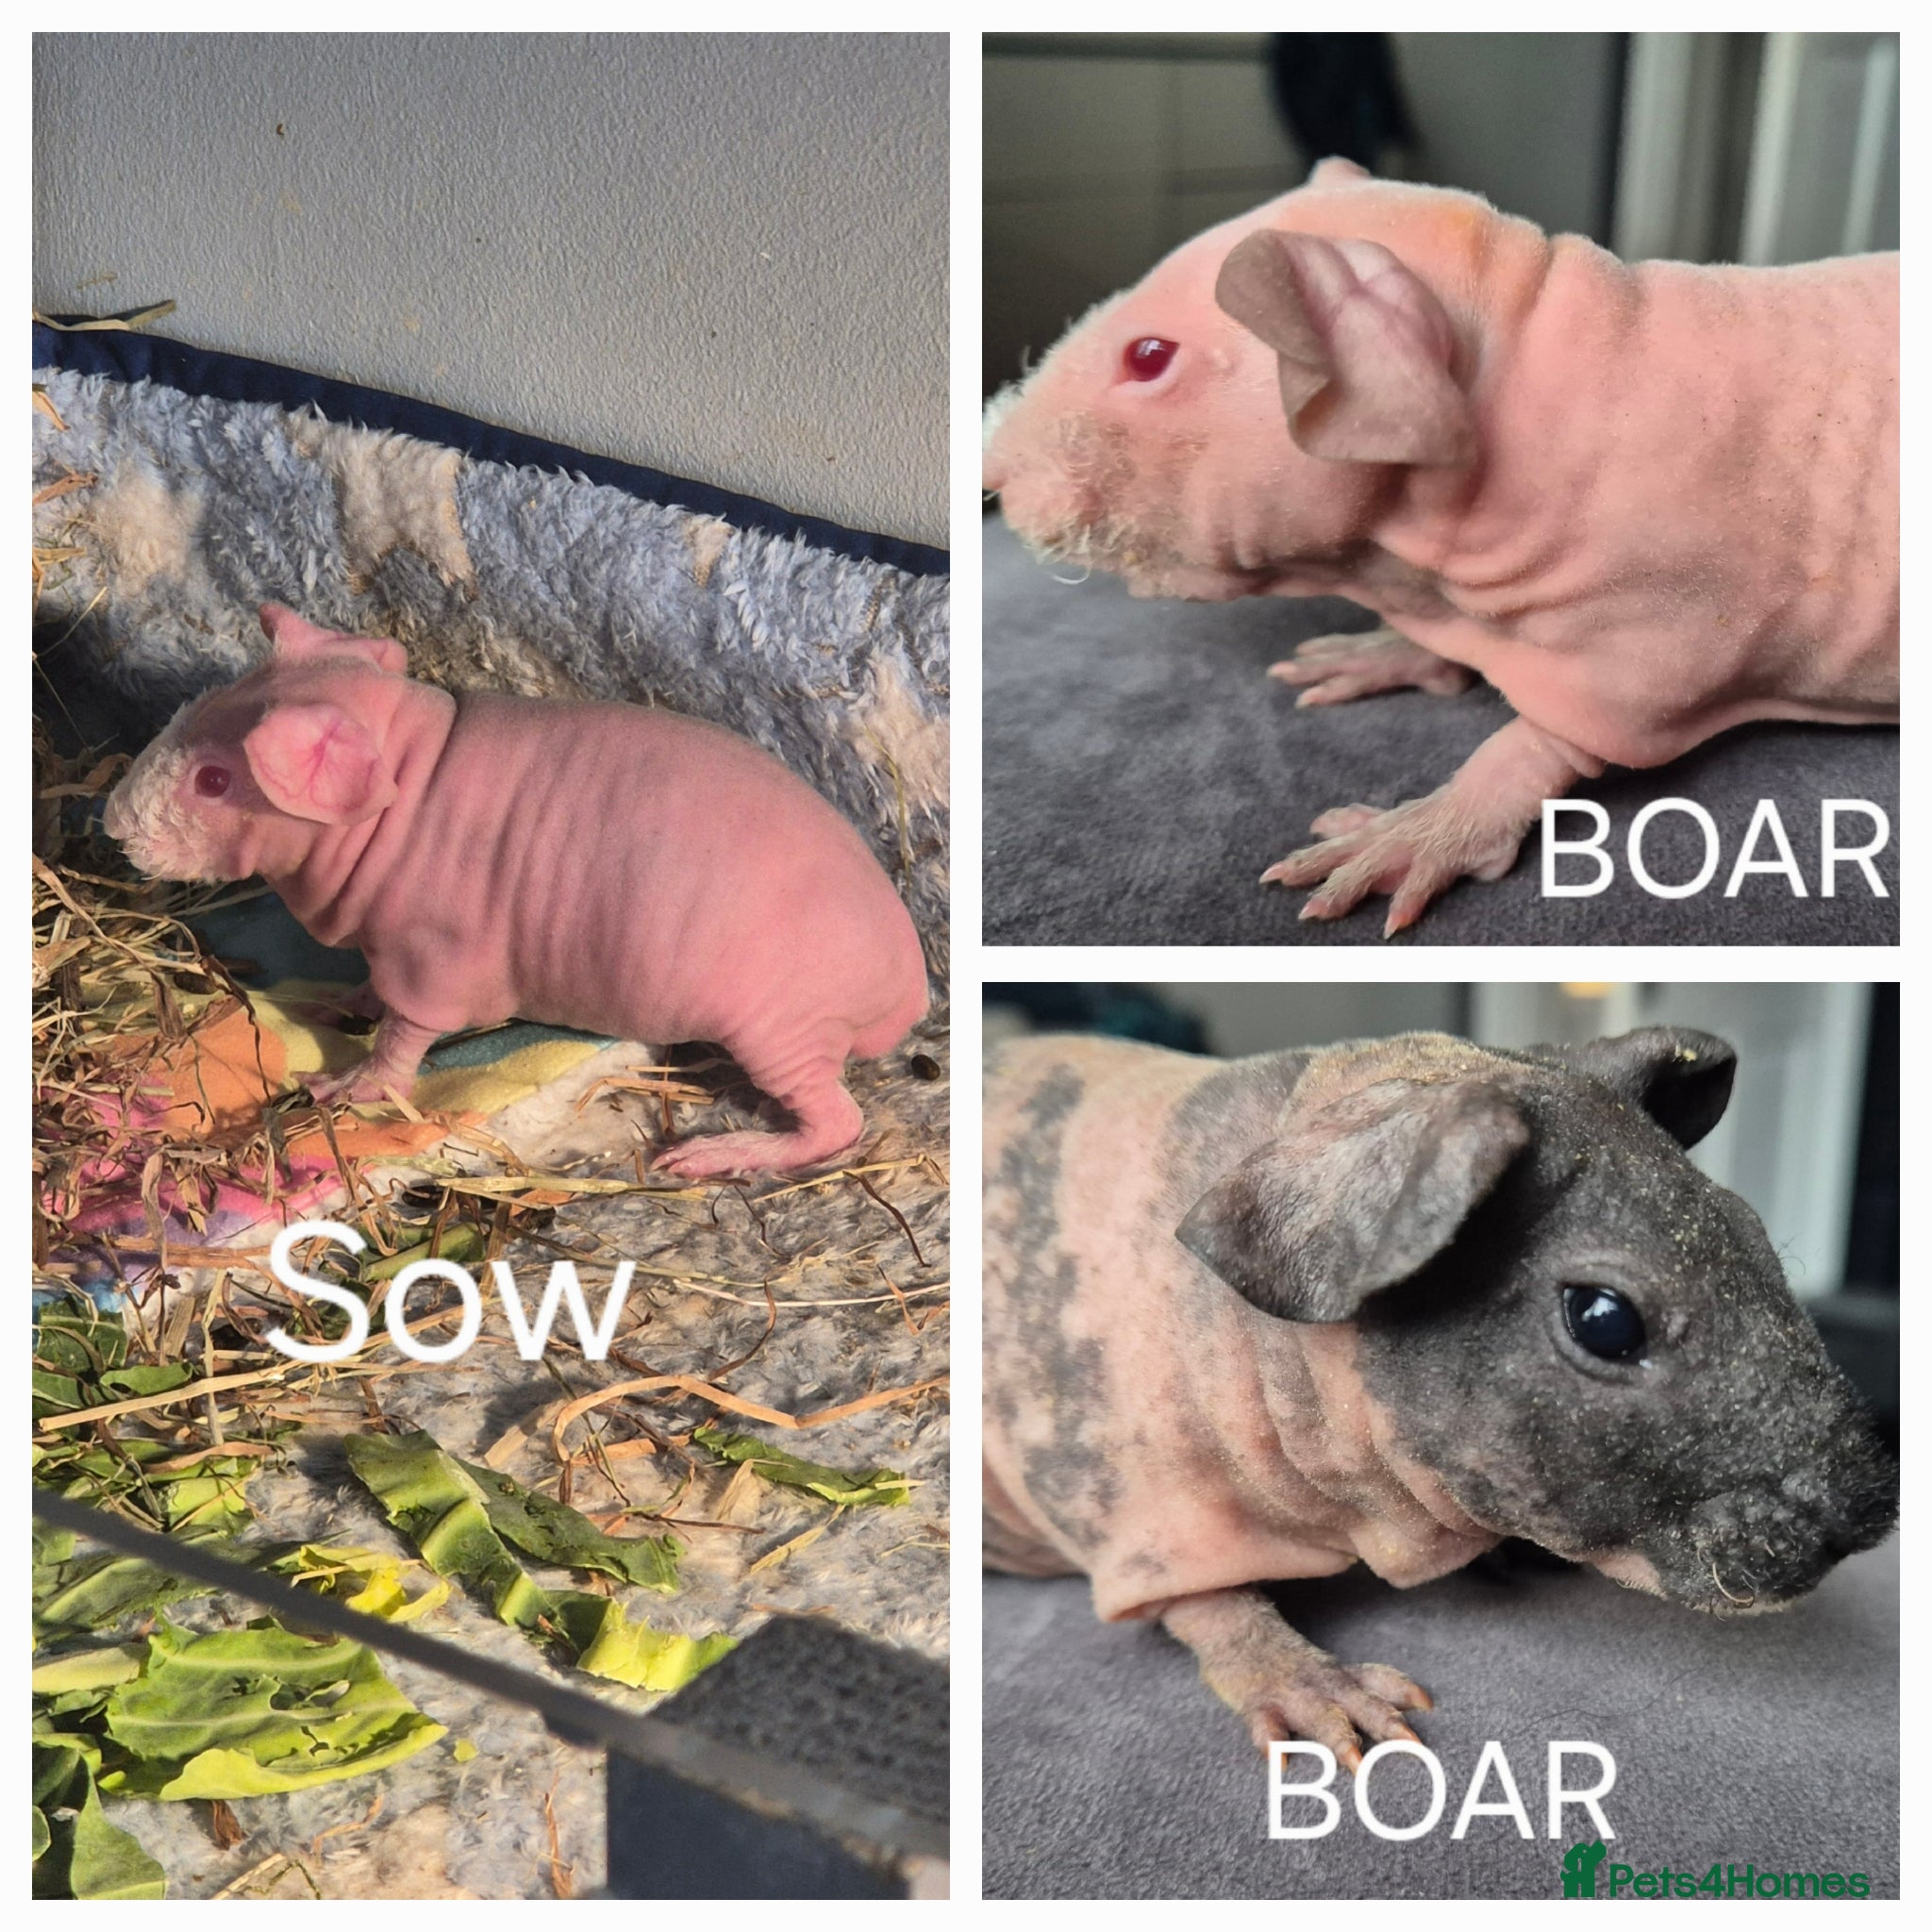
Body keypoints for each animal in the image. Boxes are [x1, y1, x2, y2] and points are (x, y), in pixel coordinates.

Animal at [102, 604, 930, 1177]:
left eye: (215, 781)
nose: (111, 823)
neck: (407, 784)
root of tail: (908, 991)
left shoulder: (432, 957)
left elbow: (404, 1036)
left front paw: (347, 1083)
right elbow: (372, 989)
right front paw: (346, 1004)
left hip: (781, 1030)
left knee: (837, 1123)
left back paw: (713, 1156)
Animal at [981, 160, 1899, 933]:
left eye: (1148, 357)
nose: (990, 468)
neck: (1526, 331)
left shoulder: (1661, 608)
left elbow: (1573, 730)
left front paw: (1424, 828)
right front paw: (1386, 650)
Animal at [983, 1026, 1896, 1764]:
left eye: (1757, 1241)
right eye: (1605, 1321)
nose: (1863, 1511)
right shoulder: (1134, 1500)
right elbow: (1210, 1607)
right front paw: (1314, 1685)